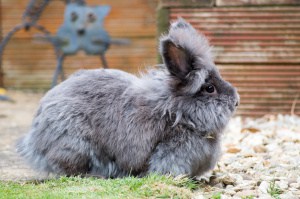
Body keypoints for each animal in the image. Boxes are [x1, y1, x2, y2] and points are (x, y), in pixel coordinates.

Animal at [16, 18, 239, 177]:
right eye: (209, 88)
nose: (236, 101)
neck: (178, 112)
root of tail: (34, 140)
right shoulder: (169, 152)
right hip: (74, 145)